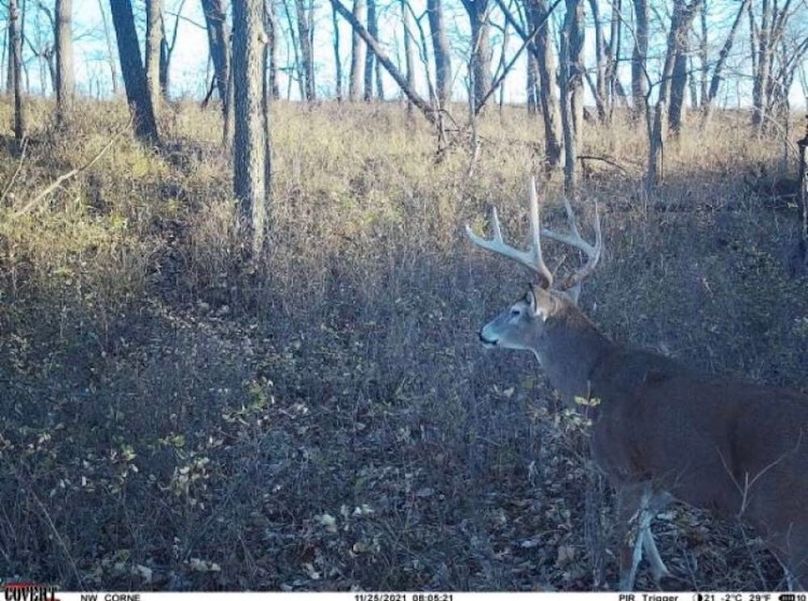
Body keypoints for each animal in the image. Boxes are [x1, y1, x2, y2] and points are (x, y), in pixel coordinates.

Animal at [465, 178, 808, 591]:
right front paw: (664, 571)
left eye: (515, 311)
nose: (483, 332)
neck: (595, 379)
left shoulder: (623, 470)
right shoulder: (657, 476)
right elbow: (646, 530)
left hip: (786, 519)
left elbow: (628, 554)